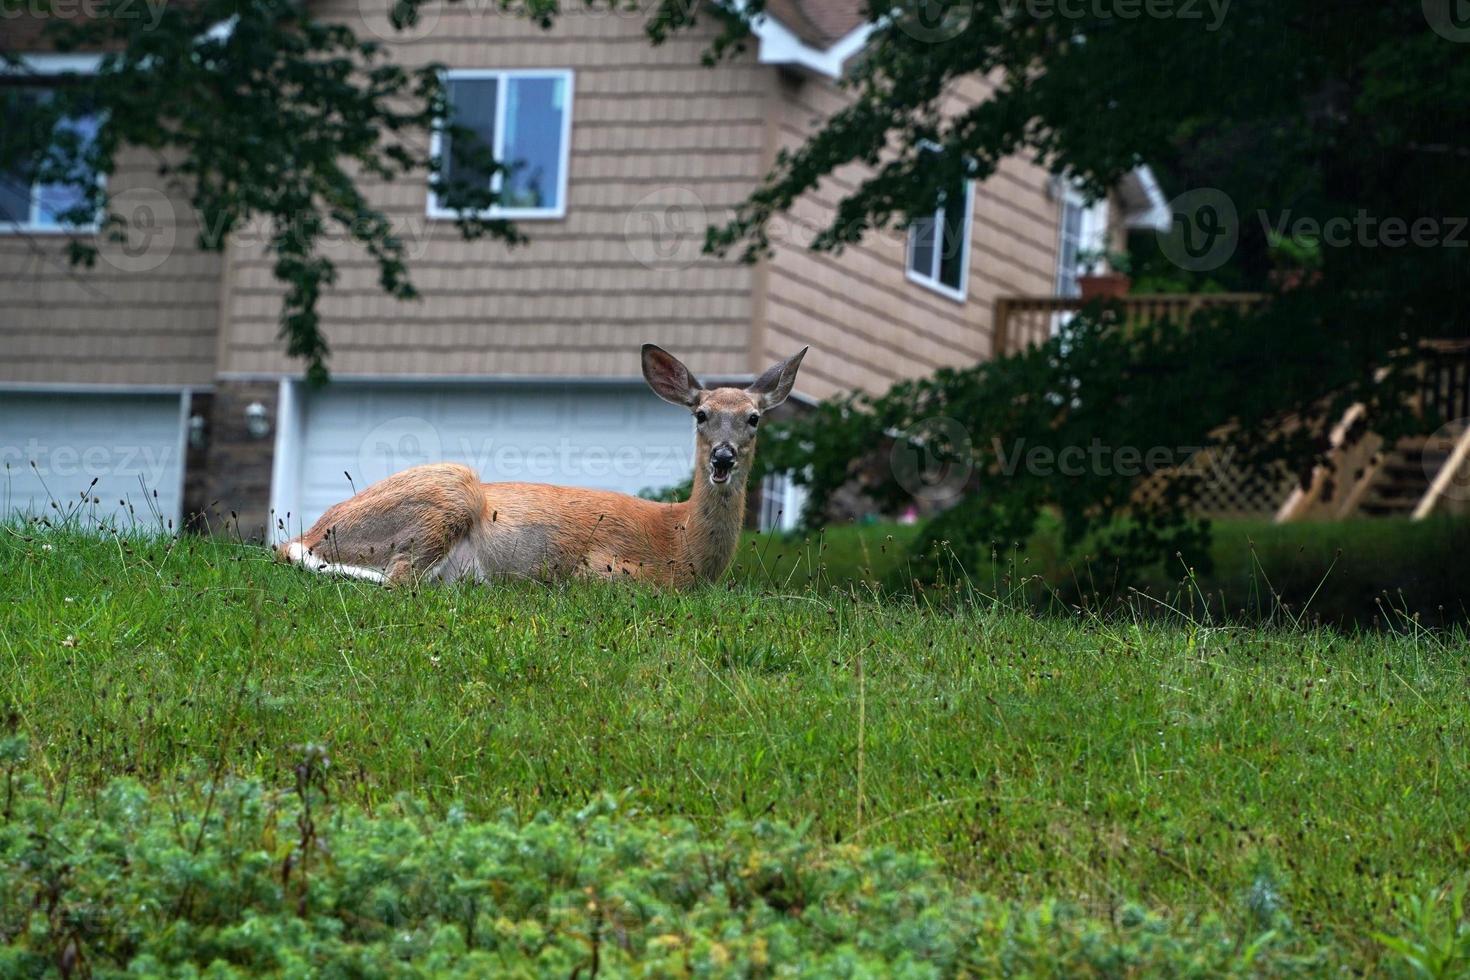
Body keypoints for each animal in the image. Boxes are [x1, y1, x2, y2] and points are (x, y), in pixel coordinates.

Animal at [276, 346, 805, 590]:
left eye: (753, 418)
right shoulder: (605, 566)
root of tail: (313, 532)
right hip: (449, 492)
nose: (723, 457)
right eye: (701, 414)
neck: (681, 541)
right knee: (400, 576)